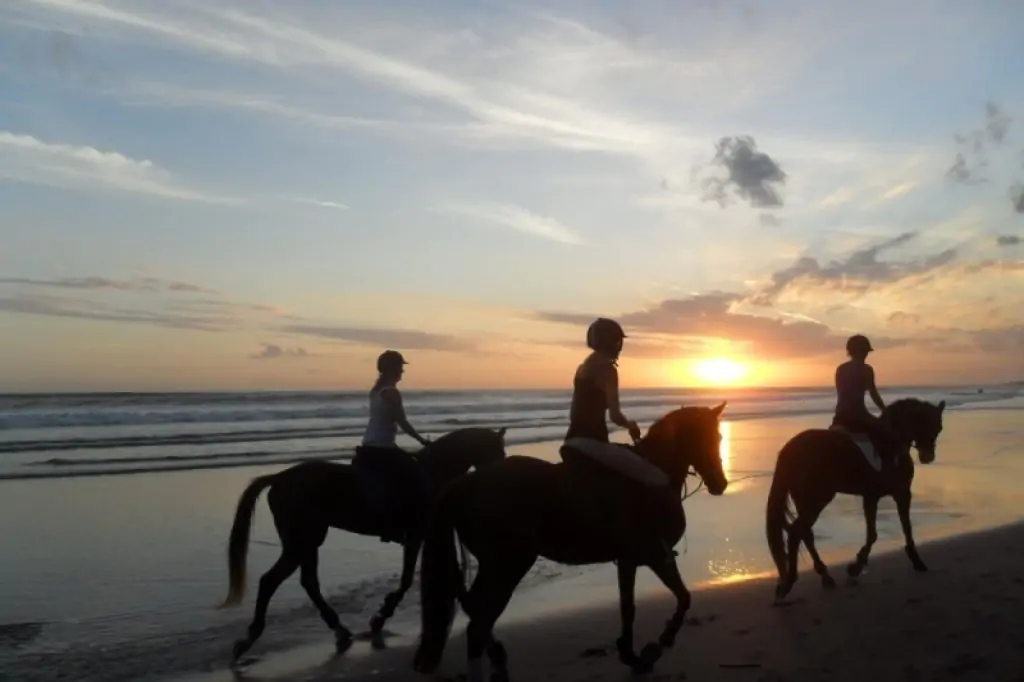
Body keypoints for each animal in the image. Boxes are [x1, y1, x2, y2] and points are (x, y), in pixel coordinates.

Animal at [218, 425, 505, 659]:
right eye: (498, 452)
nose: (500, 480)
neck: (435, 470)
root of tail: (278, 477)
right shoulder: (417, 536)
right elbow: (408, 580)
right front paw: (380, 618)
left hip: (309, 541)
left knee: (308, 582)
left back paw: (339, 629)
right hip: (300, 542)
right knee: (271, 581)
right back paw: (249, 639)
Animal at [409, 403, 729, 679]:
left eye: (719, 437)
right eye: (706, 437)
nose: (720, 484)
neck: (657, 472)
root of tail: (466, 483)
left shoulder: (629, 560)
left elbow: (629, 607)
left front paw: (631, 655)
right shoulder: (653, 554)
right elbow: (682, 597)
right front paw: (655, 647)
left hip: (496, 566)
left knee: (476, 610)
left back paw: (498, 659)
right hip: (508, 566)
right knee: (478, 621)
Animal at [765, 395, 946, 598]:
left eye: (939, 428)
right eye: (933, 425)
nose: (928, 456)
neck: (892, 439)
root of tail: (790, 448)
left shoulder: (871, 496)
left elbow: (873, 533)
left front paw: (856, 567)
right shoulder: (901, 493)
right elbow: (903, 528)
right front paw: (916, 562)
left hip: (804, 499)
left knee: (805, 533)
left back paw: (824, 577)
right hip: (817, 498)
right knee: (797, 532)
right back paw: (789, 583)